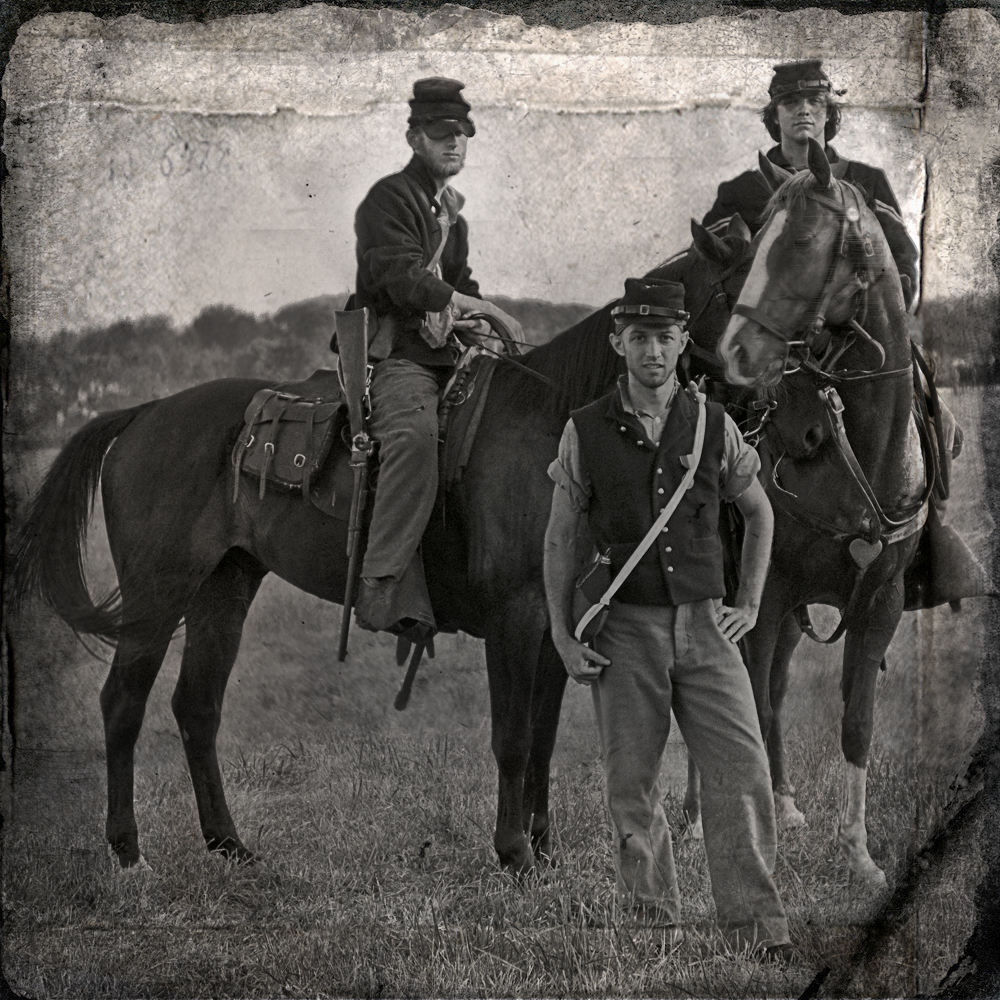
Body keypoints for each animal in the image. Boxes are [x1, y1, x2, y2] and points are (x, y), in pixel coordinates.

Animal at [13, 217, 752, 868]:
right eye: (744, 284)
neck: (554, 422)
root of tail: (143, 414)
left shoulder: (557, 624)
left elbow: (541, 738)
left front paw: (544, 849)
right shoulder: (516, 618)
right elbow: (513, 737)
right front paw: (513, 852)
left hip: (224, 587)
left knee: (197, 705)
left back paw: (229, 844)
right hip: (158, 593)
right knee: (122, 703)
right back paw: (127, 850)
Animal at [716, 141, 932, 884]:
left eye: (804, 242)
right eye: (756, 243)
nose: (735, 353)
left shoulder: (880, 604)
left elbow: (856, 722)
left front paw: (859, 854)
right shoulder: (767, 593)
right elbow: (751, 705)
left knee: (778, 688)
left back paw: (783, 804)